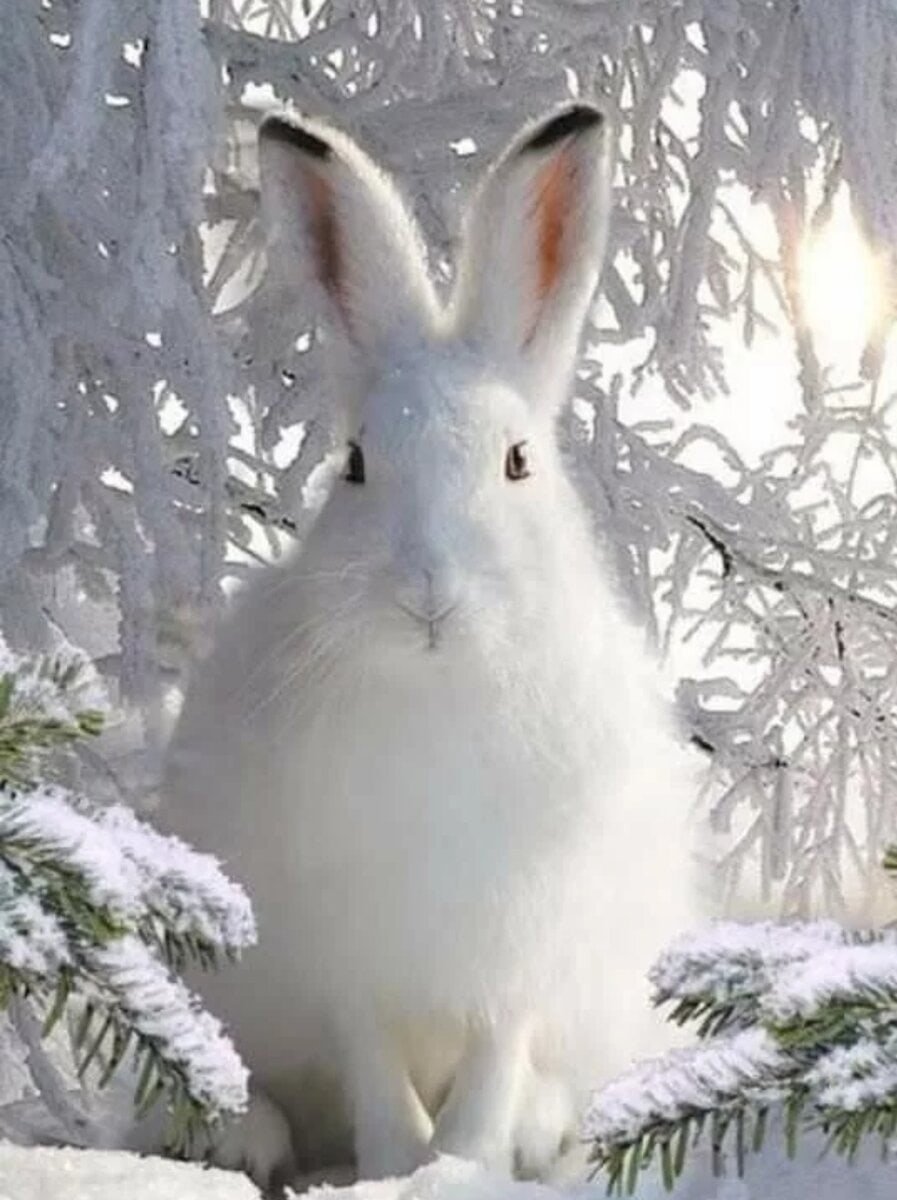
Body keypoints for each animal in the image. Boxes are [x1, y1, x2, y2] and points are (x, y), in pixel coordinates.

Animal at [159, 102, 700, 1191]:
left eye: (519, 462)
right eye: (356, 463)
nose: (428, 592)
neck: (440, 683)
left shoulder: (520, 955)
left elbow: (494, 1062)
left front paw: (465, 1164)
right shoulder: (348, 957)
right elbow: (372, 1065)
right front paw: (398, 1164)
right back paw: (246, 1136)